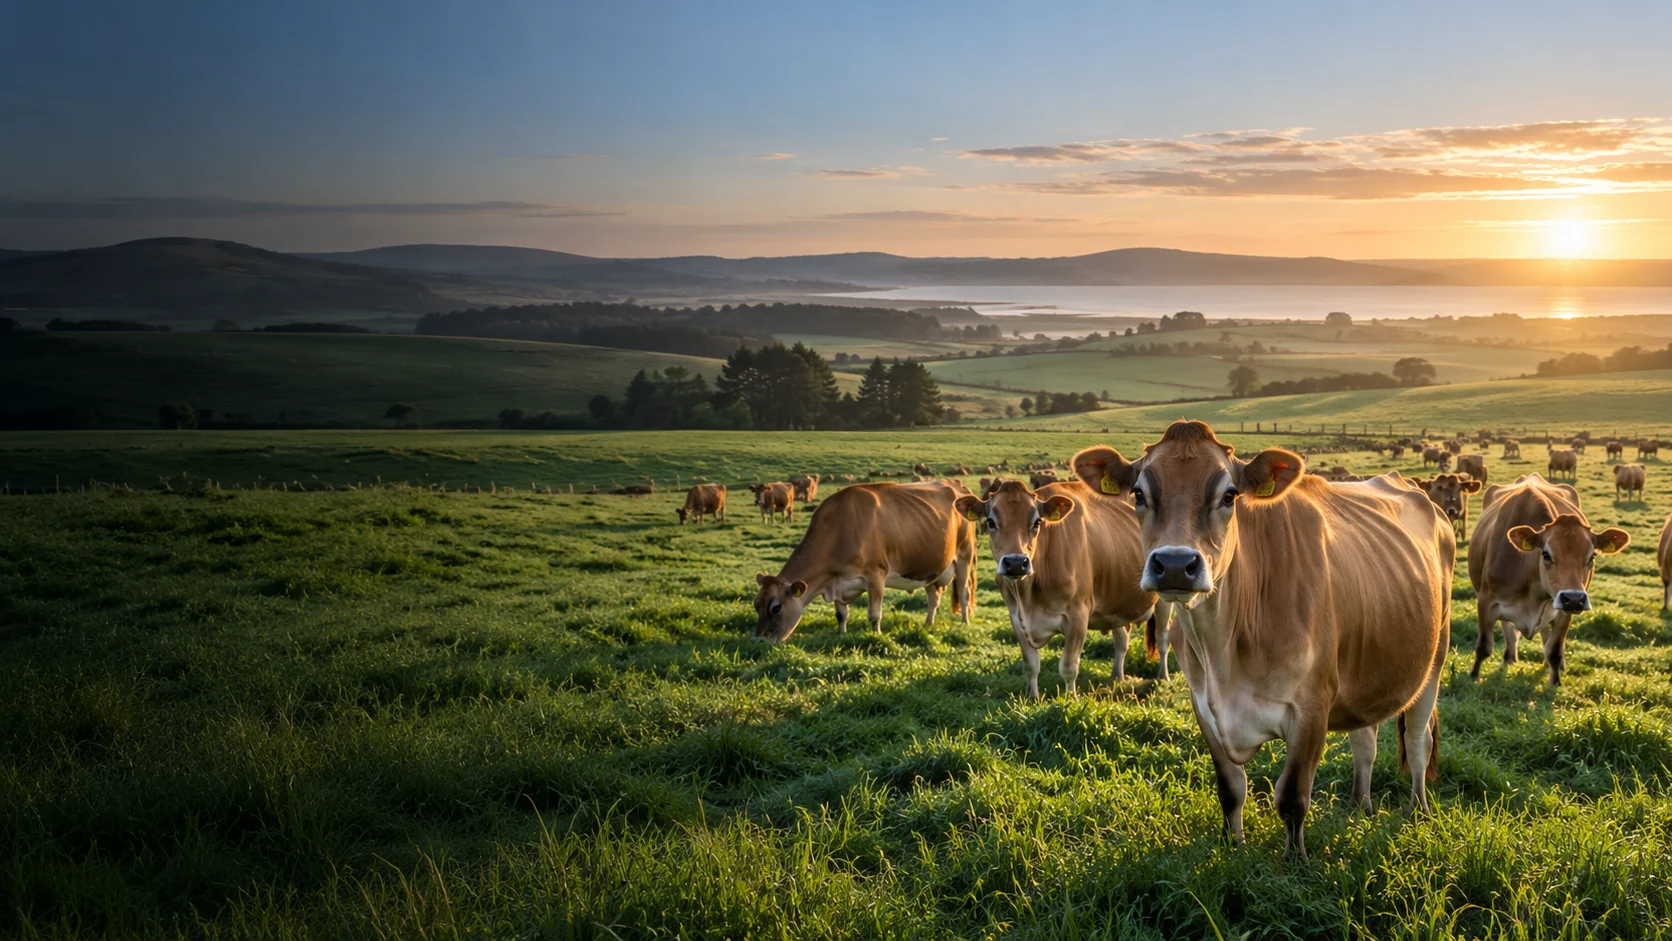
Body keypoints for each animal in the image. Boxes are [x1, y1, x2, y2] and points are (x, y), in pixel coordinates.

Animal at [753, 480, 976, 641]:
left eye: (776, 607)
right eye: (755, 604)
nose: (757, 641)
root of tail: (957, 486)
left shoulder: (876, 574)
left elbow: (874, 615)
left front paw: (876, 635)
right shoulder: (837, 580)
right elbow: (841, 614)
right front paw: (841, 635)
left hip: (964, 555)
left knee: (963, 593)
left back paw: (965, 624)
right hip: (930, 566)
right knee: (933, 597)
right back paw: (928, 625)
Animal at [958, 479, 1174, 696]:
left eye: (1037, 522)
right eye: (990, 522)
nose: (1016, 563)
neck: (1028, 598)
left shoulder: (1078, 616)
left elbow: (1069, 667)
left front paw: (1071, 698)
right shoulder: (1016, 617)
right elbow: (1031, 664)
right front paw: (1032, 696)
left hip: (1164, 599)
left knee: (1162, 636)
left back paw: (1163, 676)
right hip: (1117, 602)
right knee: (1122, 639)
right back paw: (1117, 676)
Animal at [1071, 421, 1453, 861]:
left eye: (1229, 495)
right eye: (1138, 493)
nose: (1175, 564)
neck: (1224, 653)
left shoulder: (1312, 706)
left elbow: (1292, 797)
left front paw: (1295, 862)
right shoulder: (1203, 704)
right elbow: (1231, 788)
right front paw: (1232, 846)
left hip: (1435, 658)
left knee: (1418, 739)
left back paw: (1418, 810)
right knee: (1365, 739)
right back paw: (1361, 806)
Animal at [1468, 474, 1629, 685]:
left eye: (1592, 556)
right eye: (1546, 554)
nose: (1574, 599)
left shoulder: (1563, 613)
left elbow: (1554, 651)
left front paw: (1555, 683)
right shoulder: (1486, 601)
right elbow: (1484, 646)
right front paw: (1473, 676)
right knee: (1509, 630)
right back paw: (1510, 657)